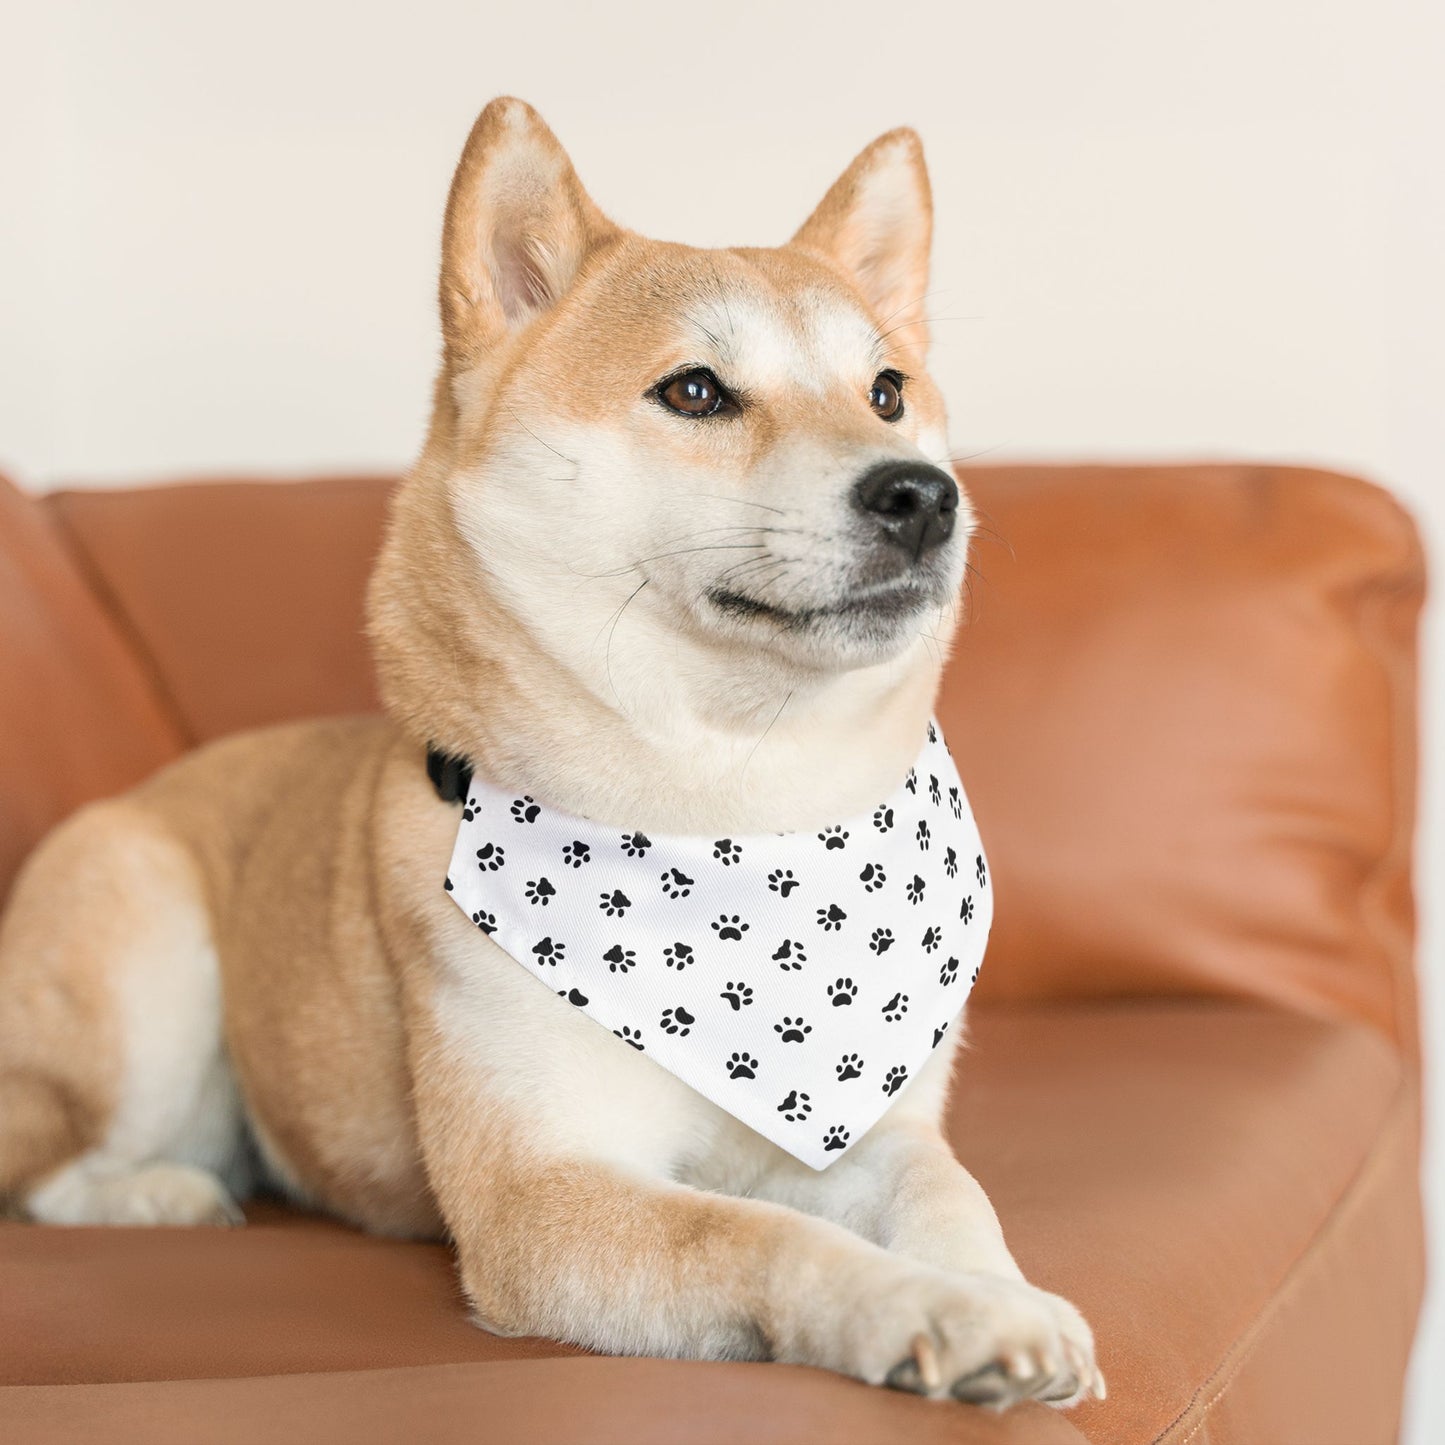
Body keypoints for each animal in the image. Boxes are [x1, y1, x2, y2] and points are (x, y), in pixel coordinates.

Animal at [0, 96, 1098, 1404]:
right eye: (694, 390)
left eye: (886, 390)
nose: (923, 494)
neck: (732, 810)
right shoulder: (541, 1194)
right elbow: (764, 1235)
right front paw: (927, 1307)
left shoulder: (871, 1126)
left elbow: (948, 1190)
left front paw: (1001, 1292)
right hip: (145, 962)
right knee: (47, 1165)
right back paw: (161, 1192)